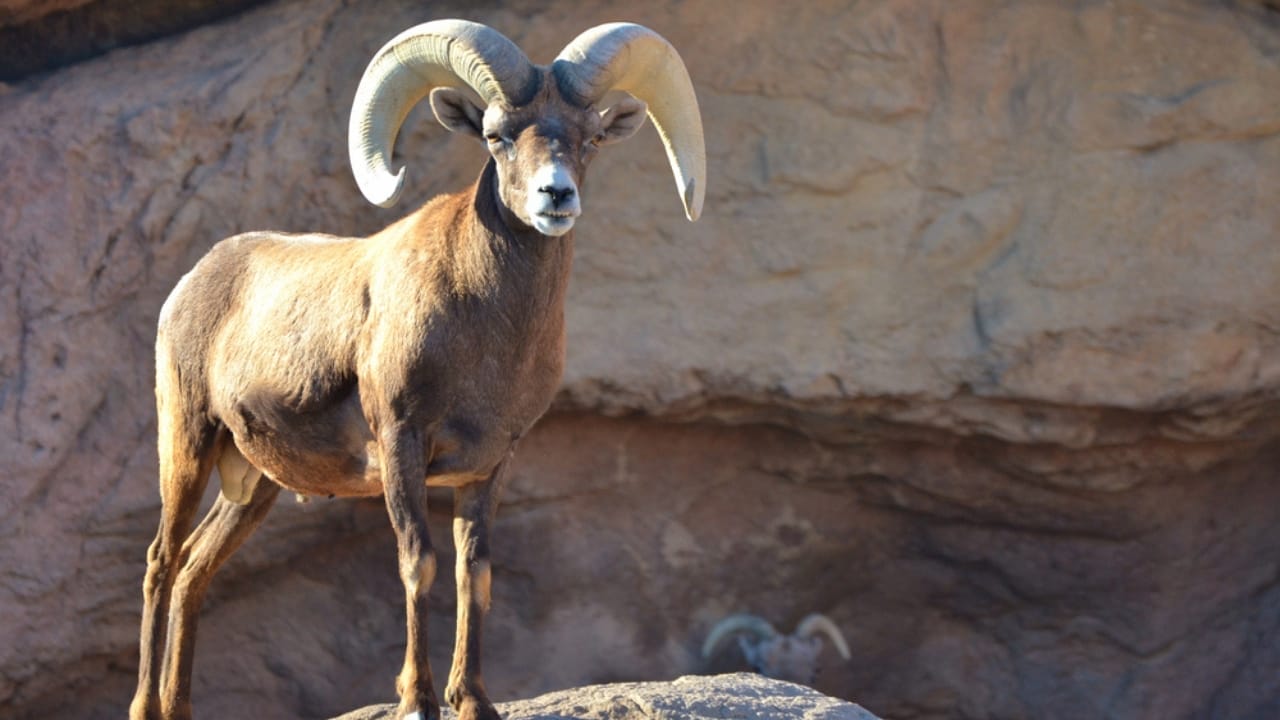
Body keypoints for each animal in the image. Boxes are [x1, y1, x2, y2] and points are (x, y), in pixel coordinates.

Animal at [128, 19, 705, 720]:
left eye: (590, 136)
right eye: (496, 135)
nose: (556, 195)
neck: (485, 333)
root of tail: (192, 283)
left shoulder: (490, 463)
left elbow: (472, 569)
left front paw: (474, 699)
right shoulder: (402, 443)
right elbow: (417, 563)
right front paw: (417, 700)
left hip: (253, 486)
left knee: (194, 571)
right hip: (187, 443)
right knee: (161, 561)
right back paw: (143, 706)